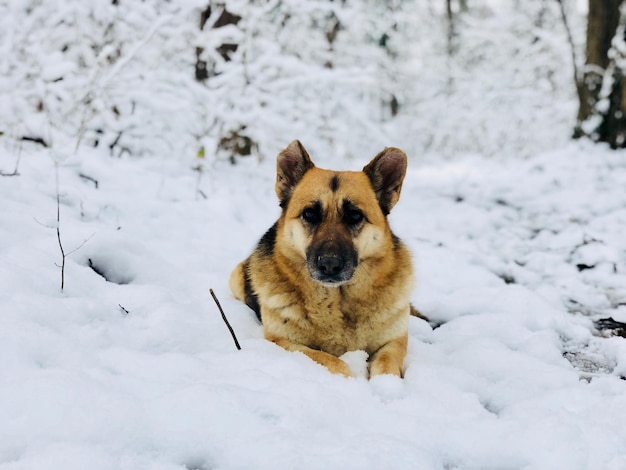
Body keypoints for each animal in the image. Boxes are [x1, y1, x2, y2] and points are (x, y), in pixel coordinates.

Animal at [229, 140, 414, 378]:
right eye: (309, 214)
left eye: (355, 215)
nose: (330, 265)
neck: (338, 301)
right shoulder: (285, 343)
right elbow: (332, 361)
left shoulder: (393, 343)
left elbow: (386, 367)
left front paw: (385, 385)